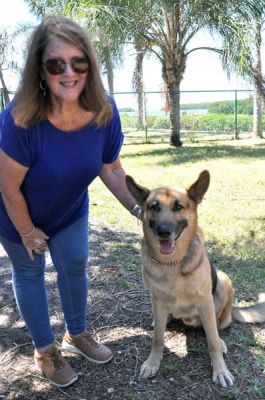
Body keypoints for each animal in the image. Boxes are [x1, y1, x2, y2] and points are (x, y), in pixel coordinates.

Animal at [125, 170, 264, 390]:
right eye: (154, 207)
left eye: (178, 206)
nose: (163, 231)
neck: (172, 263)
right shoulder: (157, 300)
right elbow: (157, 339)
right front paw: (153, 362)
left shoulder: (204, 301)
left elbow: (213, 342)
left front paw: (220, 371)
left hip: (224, 281)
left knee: (216, 327)